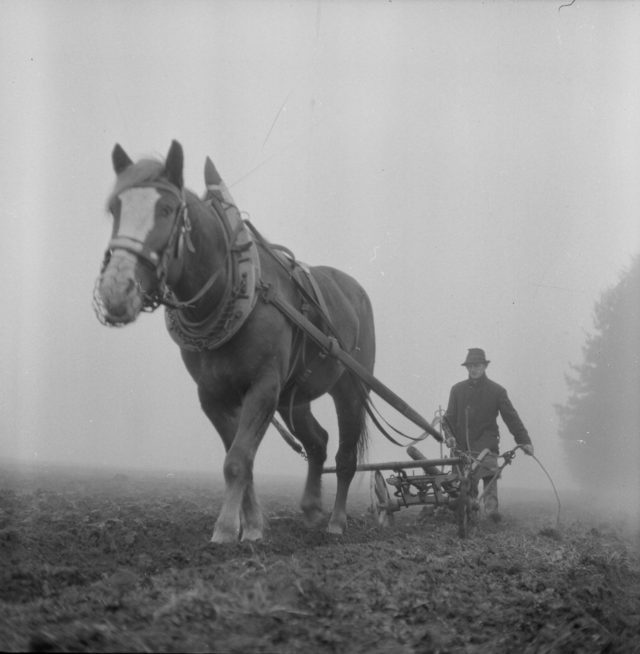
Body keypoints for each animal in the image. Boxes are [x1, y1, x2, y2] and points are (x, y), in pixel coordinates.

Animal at [97, 140, 378, 544]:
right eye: (114, 209)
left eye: (166, 209)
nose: (116, 290)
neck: (231, 289)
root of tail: (355, 290)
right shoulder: (213, 395)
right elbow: (239, 459)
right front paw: (254, 525)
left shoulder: (263, 386)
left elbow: (237, 460)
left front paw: (227, 529)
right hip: (294, 397)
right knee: (318, 442)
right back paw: (311, 510)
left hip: (351, 388)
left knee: (345, 456)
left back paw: (337, 522)